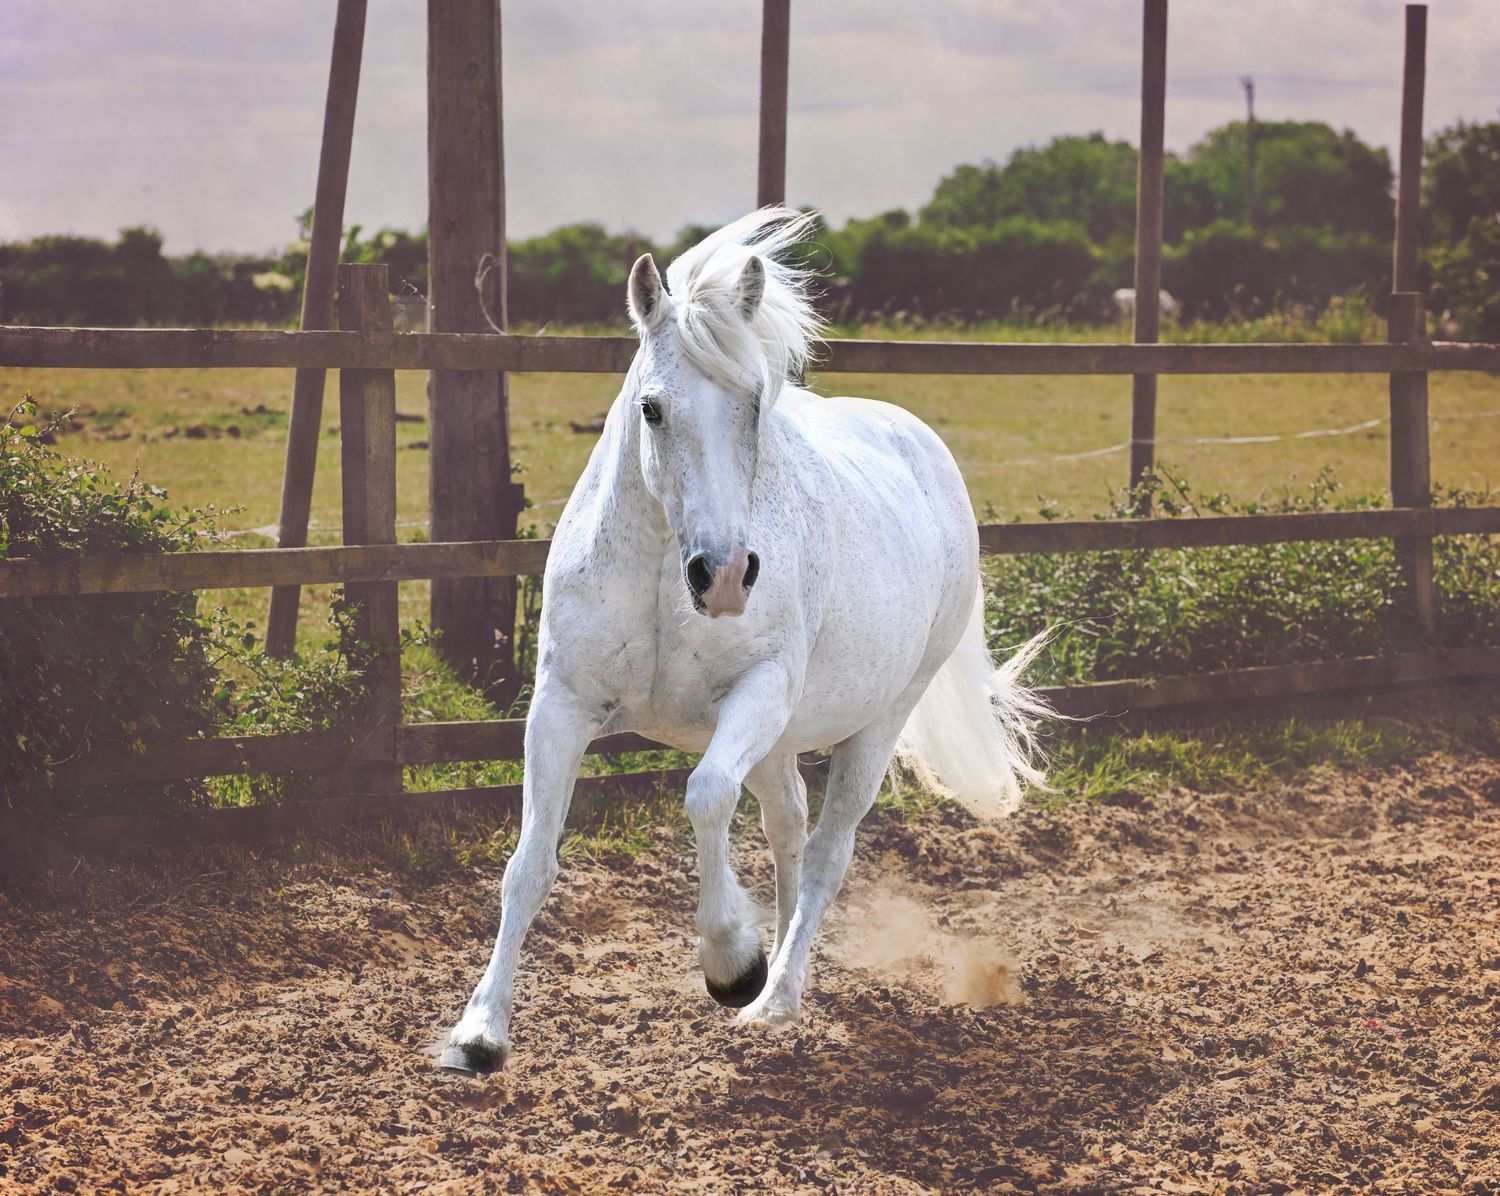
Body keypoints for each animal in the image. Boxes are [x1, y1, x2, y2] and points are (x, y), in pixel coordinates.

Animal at [441, 207, 1049, 1075]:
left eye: (755, 403)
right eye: (653, 409)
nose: (724, 576)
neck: (661, 580)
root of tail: (922, 446)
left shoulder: (755, 696)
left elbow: (703, 799)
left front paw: (731, 961)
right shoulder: (560, 705)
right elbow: (529, 863)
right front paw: (480, 1032)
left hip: (875, 722)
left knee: (826, 850)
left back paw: (775, 999)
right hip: (781, 739)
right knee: (789, 830)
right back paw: (789, 965)